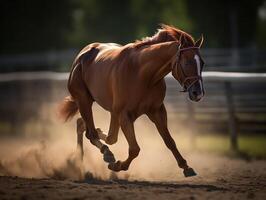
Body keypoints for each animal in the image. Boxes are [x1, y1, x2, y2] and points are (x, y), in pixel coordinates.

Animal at [58, 24, 204, 177]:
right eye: (187, 62)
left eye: (202, 63)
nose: (198, 93)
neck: (143, 74)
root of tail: (82, 55)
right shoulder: (124, 115)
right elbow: (134, 149)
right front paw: (118, 165)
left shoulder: (156, 111)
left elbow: (169, 141)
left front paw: (186, 167)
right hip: (84, 100)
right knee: (91, 133)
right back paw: (101, 155)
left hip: (108, 111)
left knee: (88, 127)